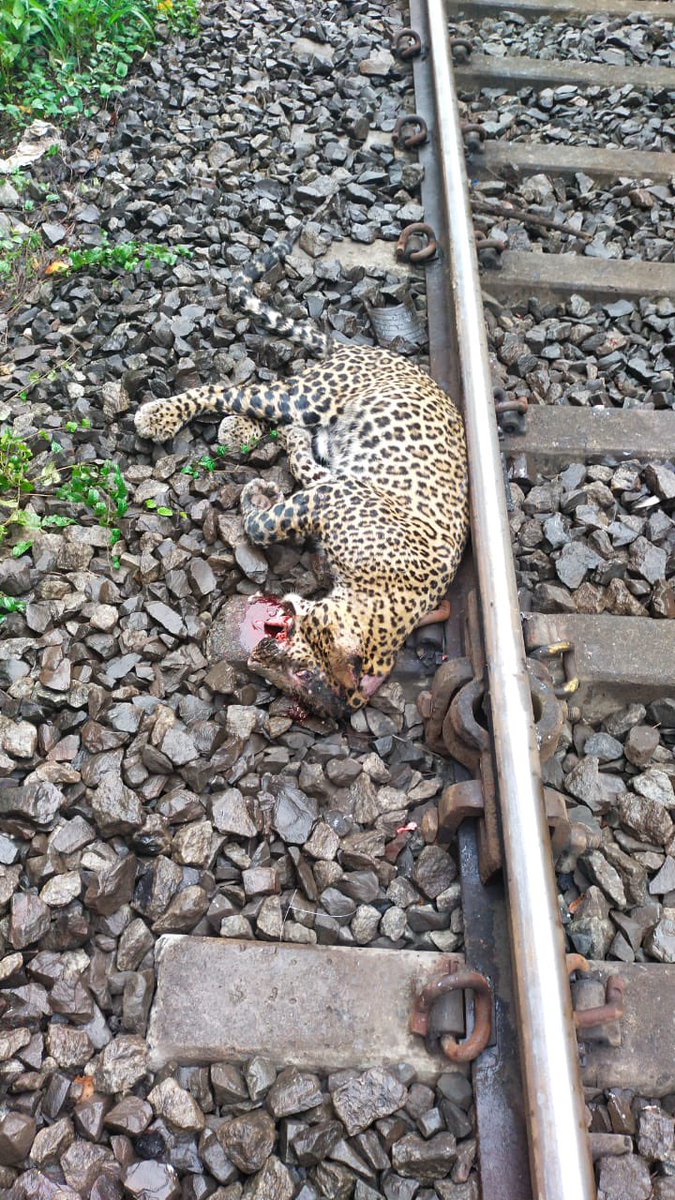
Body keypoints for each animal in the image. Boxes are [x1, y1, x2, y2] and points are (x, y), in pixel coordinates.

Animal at [134, 229, 469, 719]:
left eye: (298, 679)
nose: (258, 658)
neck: (385, 595)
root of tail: (353, 347)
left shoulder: (336, 485)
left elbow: (298, 478)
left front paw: (268, 482)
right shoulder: (335, 497)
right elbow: (264, 526)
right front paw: (257, 498)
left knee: (273, 418)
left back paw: (246, 432)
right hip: (311, 394)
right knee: (232, 390)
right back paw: (161, 416)